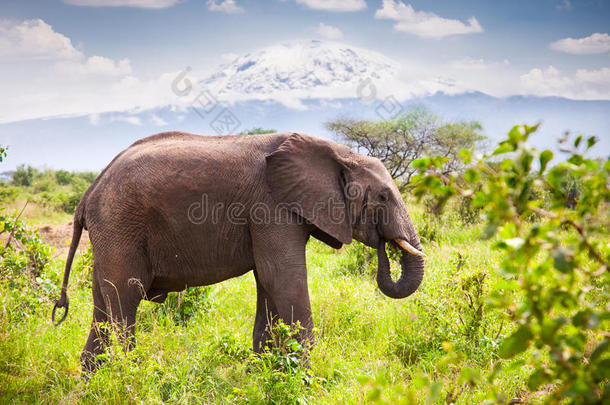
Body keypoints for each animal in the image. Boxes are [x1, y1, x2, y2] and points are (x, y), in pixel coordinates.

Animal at [51, 131, 422, 370]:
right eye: (383, 197)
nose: (384, 245)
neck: (338, 152)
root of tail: (88, 193)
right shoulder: (270, 205)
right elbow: (282, 276)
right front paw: (306, 377)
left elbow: (267, 281)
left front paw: (265, 371)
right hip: (120, 224)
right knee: (126, 298)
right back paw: (126, 375)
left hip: (110, 232)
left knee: (103, 304)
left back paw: (94, 381)